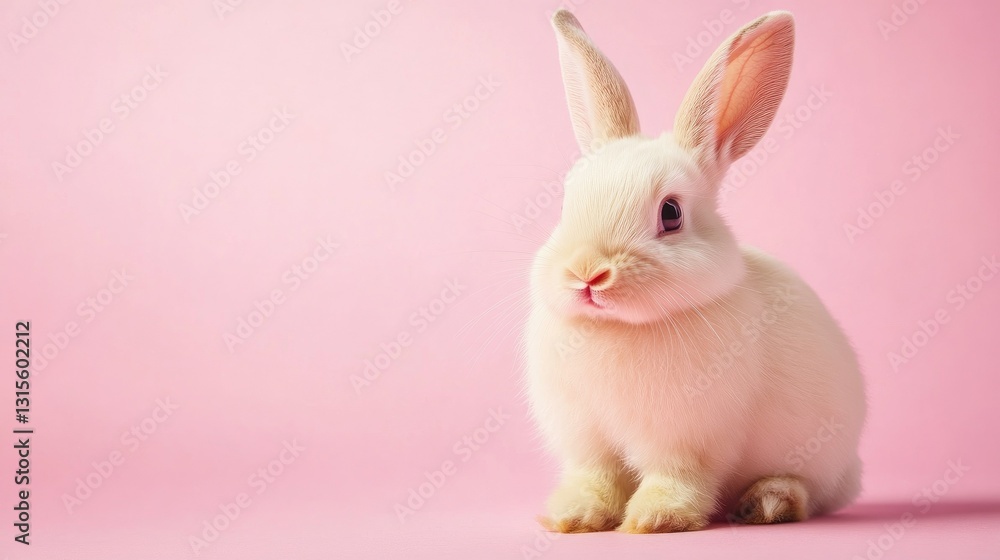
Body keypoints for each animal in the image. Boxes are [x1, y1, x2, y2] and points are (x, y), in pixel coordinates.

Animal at [524, 9, 867, 534]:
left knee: (811, 491)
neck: (618, 328)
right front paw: (572, 516)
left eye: (671, 214)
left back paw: (769, 502)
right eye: (567, 201)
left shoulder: (687, 442)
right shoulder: (588, 441)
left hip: (818, 457)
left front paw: (655, 519)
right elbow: (596, 477)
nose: (587, 274)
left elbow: (677, 477)